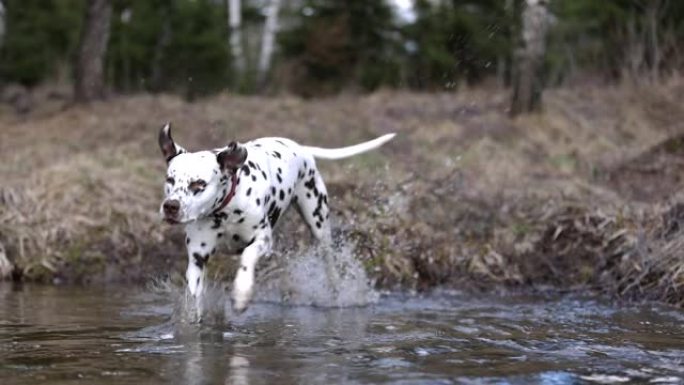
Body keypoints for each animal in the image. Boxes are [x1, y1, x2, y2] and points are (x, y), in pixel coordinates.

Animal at [159, 123, 396, 316]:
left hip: (318, 224)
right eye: (170, 179)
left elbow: (247, 256)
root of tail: (302, 149)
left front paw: (242, 293)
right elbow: (193, 296)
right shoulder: (197, 258)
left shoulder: (263, 241)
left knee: (329, 263)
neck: (226, 210)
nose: (171, 206)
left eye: (198, 184)